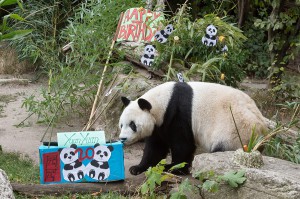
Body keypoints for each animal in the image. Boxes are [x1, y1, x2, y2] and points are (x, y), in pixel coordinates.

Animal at [118, 81, 268, 175]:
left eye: (132, 124)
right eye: (121, 124)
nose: (122, 138)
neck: (162, 101)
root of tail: (263, 130)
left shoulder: (178, 113)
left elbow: (182, 145)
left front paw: (173, 167)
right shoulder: (160, 124)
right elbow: (155, 148)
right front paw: (137, 168)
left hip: (236, 130)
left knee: (222, 150)